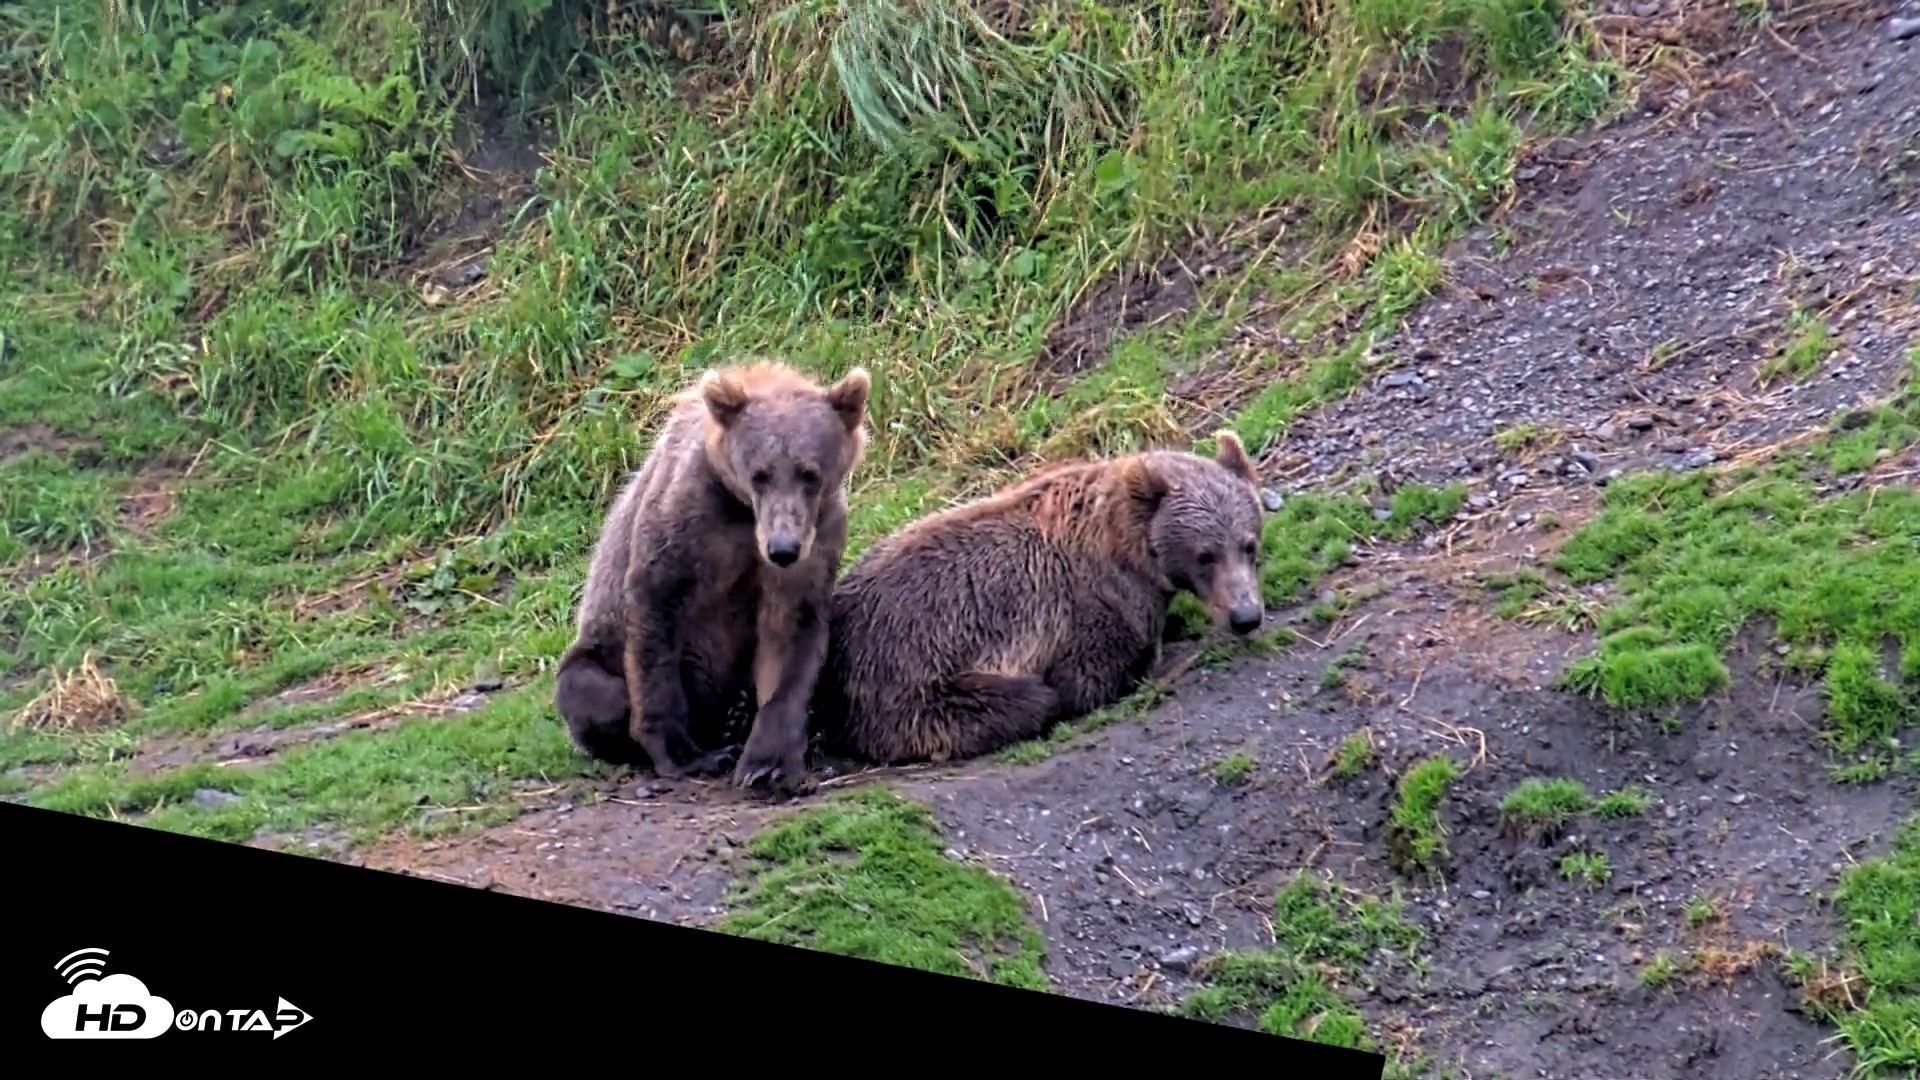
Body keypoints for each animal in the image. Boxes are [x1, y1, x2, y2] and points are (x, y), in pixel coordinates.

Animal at [553, 360, 872, 794]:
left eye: (810, 473)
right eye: (760, 474)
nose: (782, 548)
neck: (741, 512)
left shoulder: (817, 535)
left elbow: (792, 635)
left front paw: (770, 763)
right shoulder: (686, 521)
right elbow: (655, 617)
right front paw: (685, 755)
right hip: (597, 654)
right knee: (591, 690)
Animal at [812, 431, 1267, 766]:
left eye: (1248, 544)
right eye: (1205, 555)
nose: (1245, 615)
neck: (1126, 546)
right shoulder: (1086, 603)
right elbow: (1088, 676)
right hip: (912, 680)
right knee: (1020, 700)